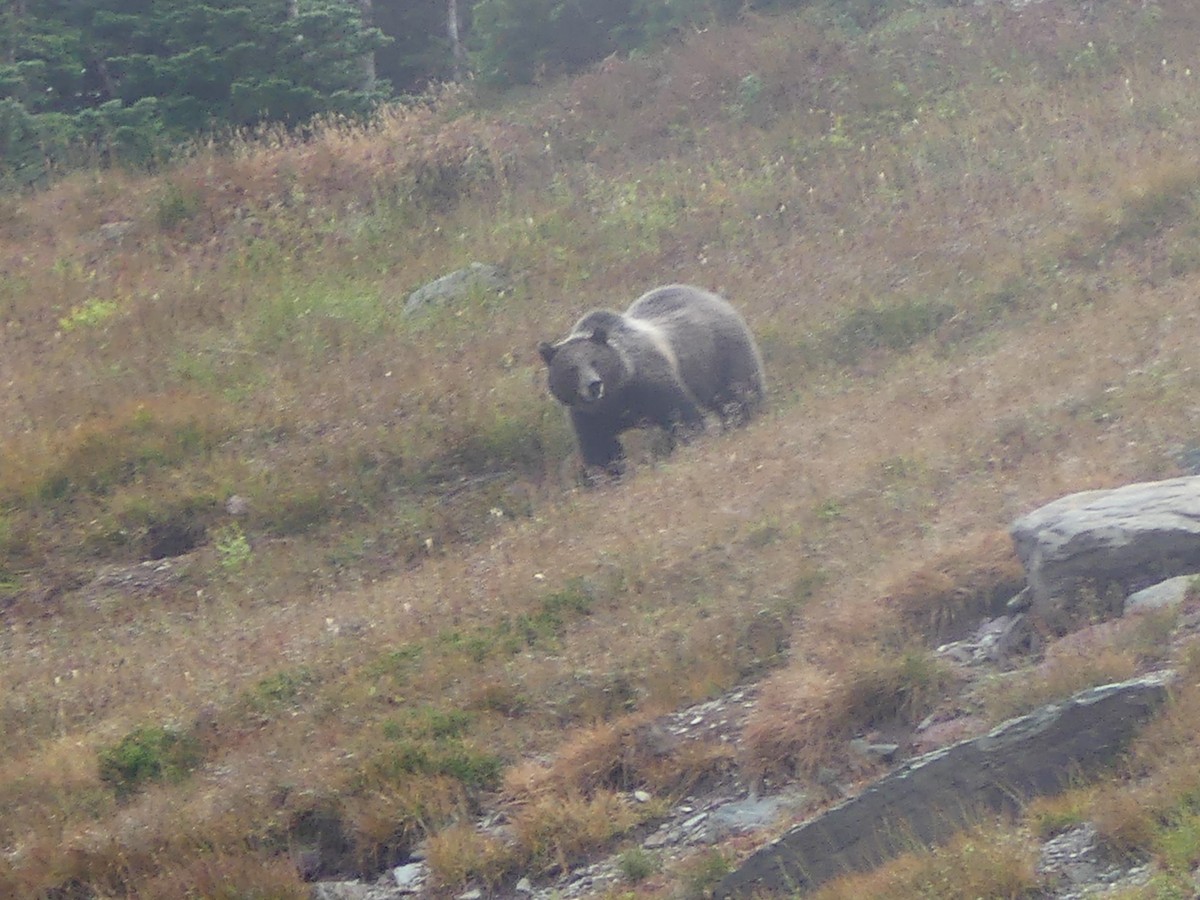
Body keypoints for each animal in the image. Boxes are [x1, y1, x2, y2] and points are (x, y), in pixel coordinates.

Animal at [538, 284, 765, 473]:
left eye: (595, 361)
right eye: (571, 369)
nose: (594, 385)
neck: (616, 395)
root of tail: (713, 296)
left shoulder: (652, 384)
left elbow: (682, 416)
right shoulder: (586, 416)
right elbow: (600, 448)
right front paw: (609, 473)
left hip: (722, 355)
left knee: (739, 394)